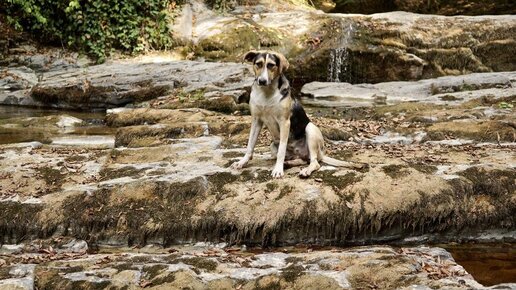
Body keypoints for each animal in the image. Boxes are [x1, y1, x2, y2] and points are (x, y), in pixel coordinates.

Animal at [232, 50, 360, 178]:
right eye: (258, 64)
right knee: (301, 160)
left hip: (310, 129)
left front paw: (278, 170)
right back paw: (288, 163)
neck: (266, 92)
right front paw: (242, 162)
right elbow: (250, 145)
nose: (262, 81)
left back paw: (305, 170)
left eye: (271, 65)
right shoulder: (256, 120)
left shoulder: (284, 122)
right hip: (273, 145)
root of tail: (321, 154)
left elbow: (282, 150)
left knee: (314, 162)